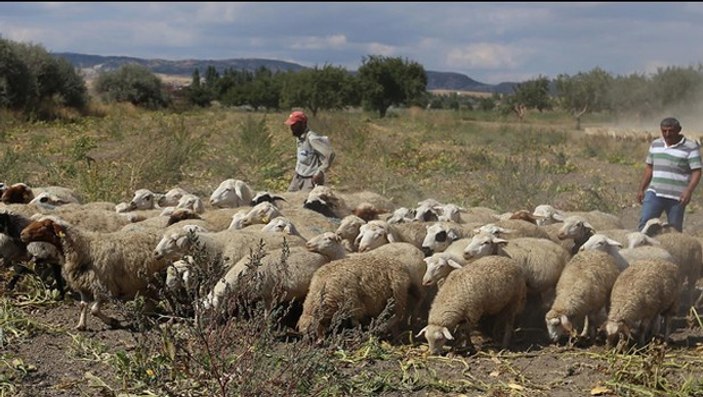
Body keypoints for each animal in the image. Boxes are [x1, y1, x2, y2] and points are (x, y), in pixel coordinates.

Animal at [19, 215, 169, 330]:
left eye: (44, 225)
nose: (22, 234)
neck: (85, 248)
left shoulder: (103, 286)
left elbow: (94, 310)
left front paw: (113, 322)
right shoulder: (83, 286)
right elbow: (83, 306)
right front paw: (81, 325)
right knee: (152, 300)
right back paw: (145, 315)